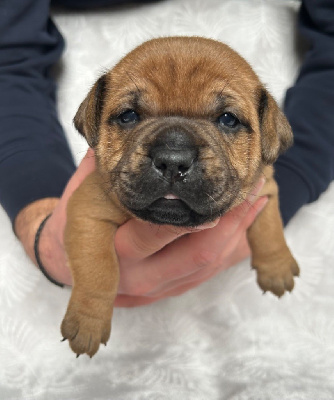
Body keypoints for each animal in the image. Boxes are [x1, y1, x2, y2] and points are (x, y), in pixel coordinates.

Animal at [61, 36, 298, 356]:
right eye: (128, 116)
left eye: (228, 120)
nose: (172, 160)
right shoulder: (86, 210)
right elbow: (97, 268)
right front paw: (88, 322)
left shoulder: (265, 186)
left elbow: (270, 224)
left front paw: (277, 266)